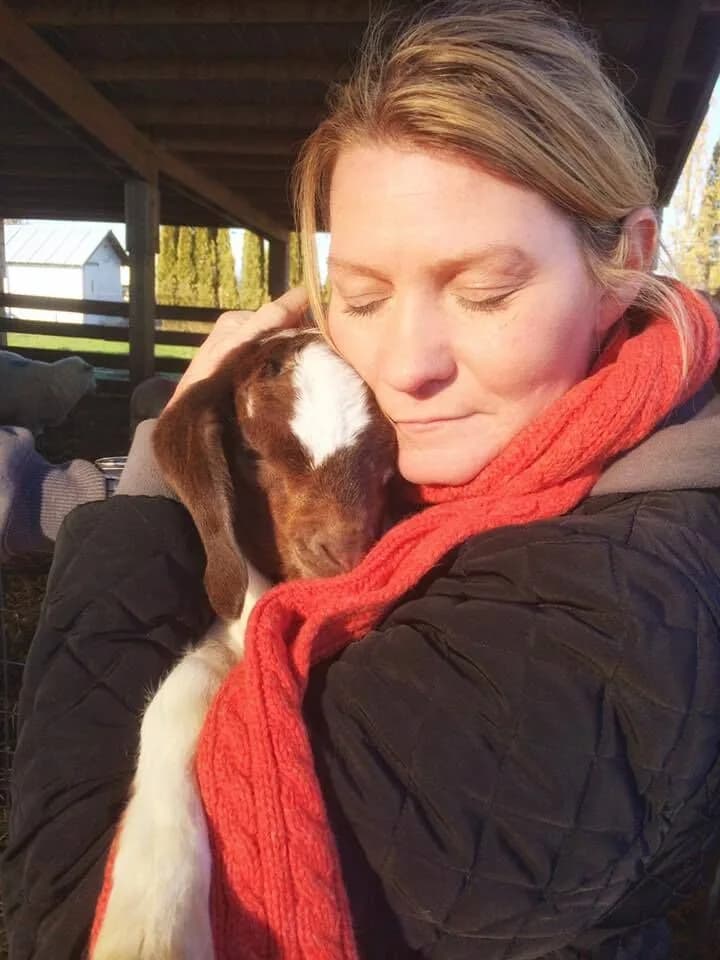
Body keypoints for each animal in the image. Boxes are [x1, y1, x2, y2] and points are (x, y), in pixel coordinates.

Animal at [92, 328, 397, 960]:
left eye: (386, 469)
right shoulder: (226, 620)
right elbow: (174, 700)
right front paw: (150, 925)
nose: (343, 554)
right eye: (253, 457)